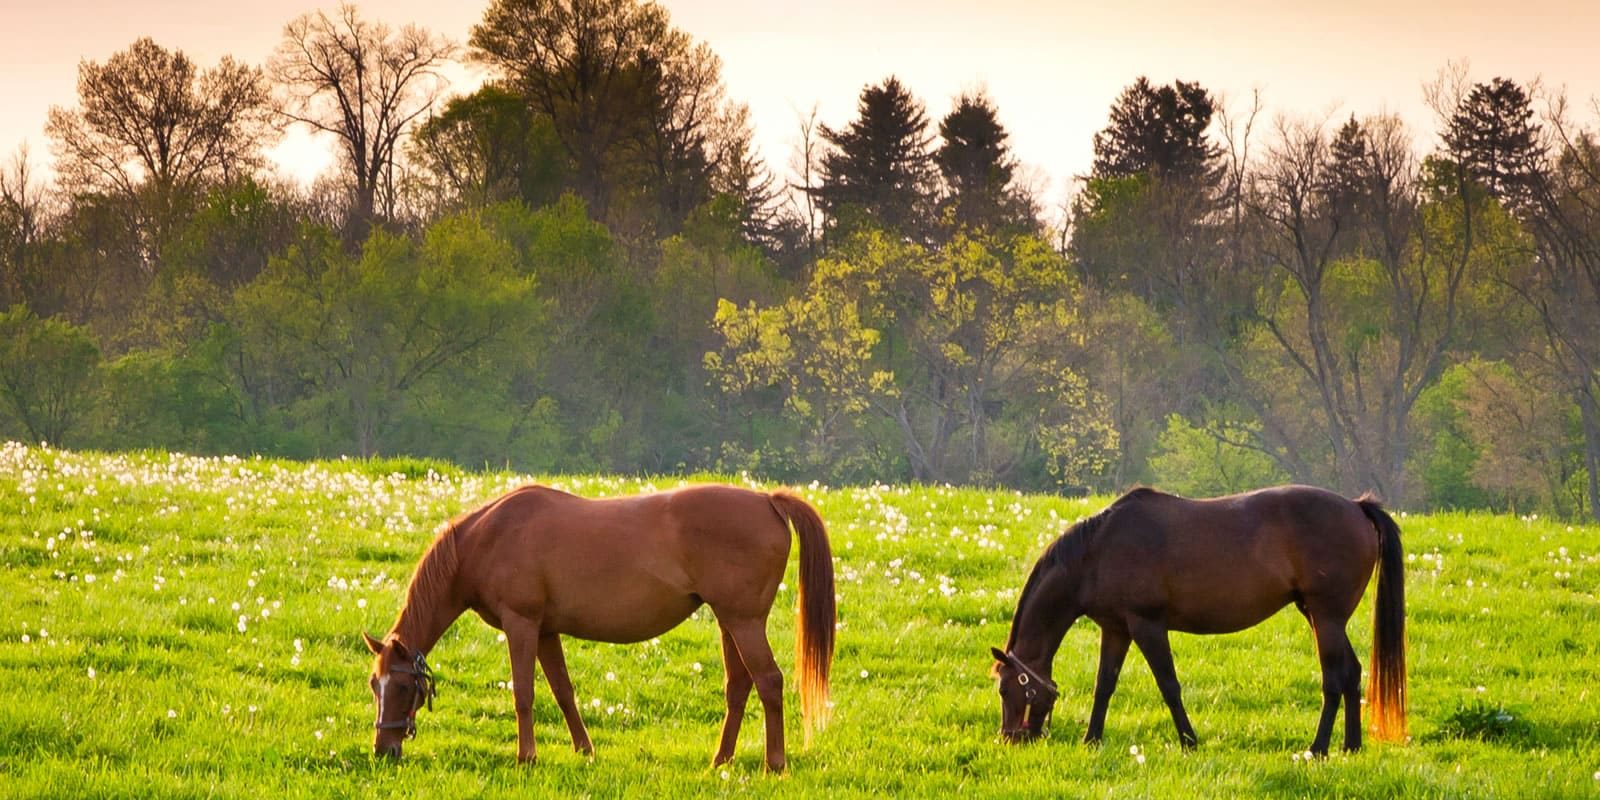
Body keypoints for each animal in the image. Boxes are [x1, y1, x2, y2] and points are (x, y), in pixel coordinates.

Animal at [363, 480, 838, 768]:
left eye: (402, 686)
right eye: (374, 686)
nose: (384, 750)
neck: (488, 538)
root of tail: (767, 501)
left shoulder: (522, 624)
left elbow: (524, 694)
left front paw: (526, 757)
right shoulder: (546, 630)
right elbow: (563, 691)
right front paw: (584, 749)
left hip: (744, 622)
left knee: (769, 681)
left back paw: (774, 764)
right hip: (729, 622)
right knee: (738, 687)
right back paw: (719, 760)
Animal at [985, 483, 1401, 752]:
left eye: (1006, 689)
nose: (1009, 739)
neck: (1096, 554)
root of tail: (1356, 506)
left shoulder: (1147, 626)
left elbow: (1169, 685)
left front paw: (1189, 741)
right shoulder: (1116, 629)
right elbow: (1105, 685)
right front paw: (1092, 740)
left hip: (1326, 618)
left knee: (1333, 680)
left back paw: (1318, 748)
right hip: (1322, 617)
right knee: (1352, 673)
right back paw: (1351, 746)